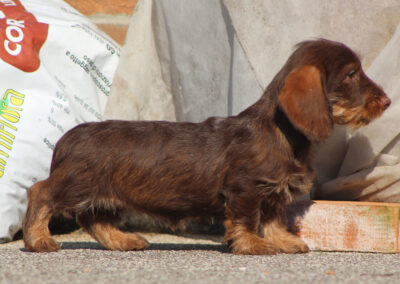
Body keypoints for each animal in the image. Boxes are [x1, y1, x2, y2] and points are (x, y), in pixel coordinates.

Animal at [22, 38, 390, 254]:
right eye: (352, 74)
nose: (387, 102)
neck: (280, 132)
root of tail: (67, 139)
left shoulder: (273, 191)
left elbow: (274, 219)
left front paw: (285, 241)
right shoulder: (245, 189)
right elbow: (247, 220)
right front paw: (253, 244)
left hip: (101, 193)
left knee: (95, 219)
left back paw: (122, 240)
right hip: (76, 184)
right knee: (41, 192)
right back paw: (38, 239)